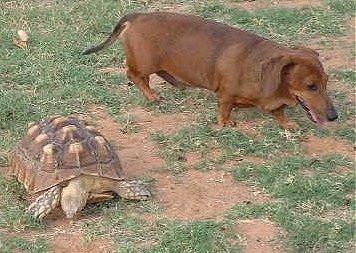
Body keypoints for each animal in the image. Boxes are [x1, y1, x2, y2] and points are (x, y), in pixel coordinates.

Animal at [82, 11, 336, 128]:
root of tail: (138, 15)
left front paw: (287, 123)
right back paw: (152, 95)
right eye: (311, 86)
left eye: (326, 82)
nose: (334, 117)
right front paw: (225, 124)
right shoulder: (226, 95)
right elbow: (225, 109)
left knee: (160, 73)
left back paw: (177, 83)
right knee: (134, 75)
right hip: (145, 62)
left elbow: (279, 112)